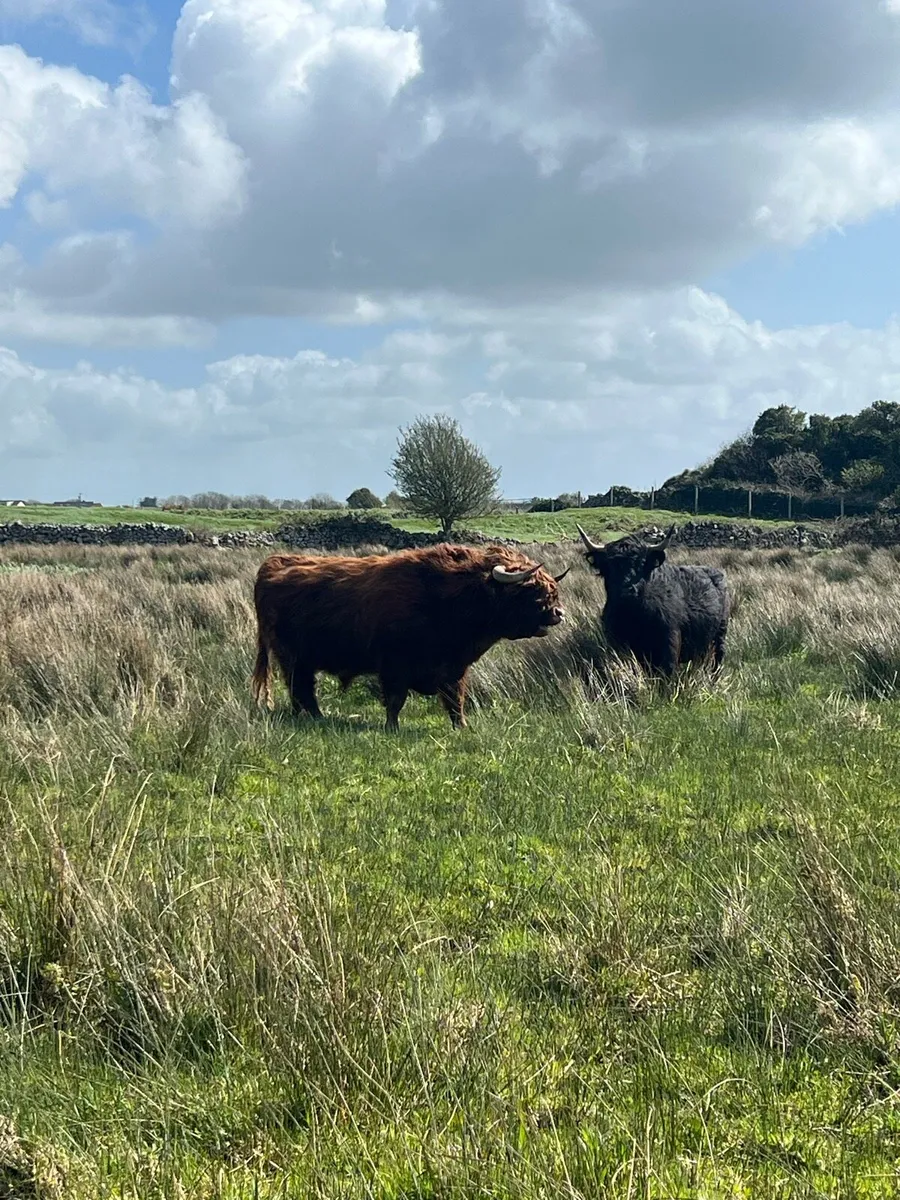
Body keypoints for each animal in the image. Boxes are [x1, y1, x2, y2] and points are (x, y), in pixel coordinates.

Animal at [251, 543, 570, 731]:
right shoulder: (394, 664)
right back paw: (316, 718)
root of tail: (273, 564)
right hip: (292, 656)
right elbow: (396, 700)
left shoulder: (455, 668)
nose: (559, 613)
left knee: (300, 689)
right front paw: (392, 728)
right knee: (301, 687)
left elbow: (455, 699)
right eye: (531, 589)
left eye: (552, 589)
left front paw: (462, 727)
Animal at [576, 523, 730, 677]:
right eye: (609, 566)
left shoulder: (670, 641)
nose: (627, 591)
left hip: (720, 634)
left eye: (642, 563)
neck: (632, 615)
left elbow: (668, 671)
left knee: (718, 658)